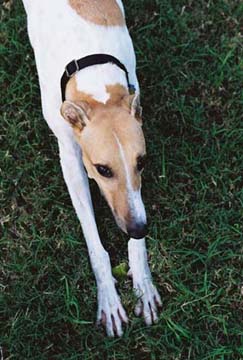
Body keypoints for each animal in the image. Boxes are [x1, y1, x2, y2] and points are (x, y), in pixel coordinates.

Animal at [21, 0, 161, 338]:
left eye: (142, 162)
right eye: (102, 169)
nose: (139, 229)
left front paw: (143, 281)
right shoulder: (71, 160)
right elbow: (95, 244)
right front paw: (109, 298)